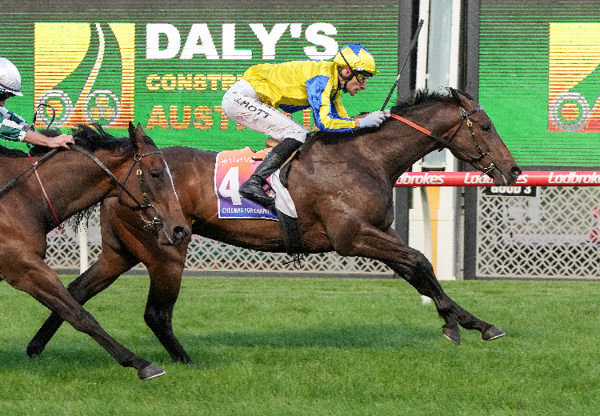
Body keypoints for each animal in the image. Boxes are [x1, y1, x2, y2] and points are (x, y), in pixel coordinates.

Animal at [0, 122, 189, 378]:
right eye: (155, 173)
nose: (180, 229)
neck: (22, 195)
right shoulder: (23, 266)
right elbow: (80, 315)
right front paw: (142, 364)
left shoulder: (24, 265)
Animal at [27, 88, 520, 364]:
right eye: (485, 125)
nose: (513, 171)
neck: (364, 157)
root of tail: (119, 175)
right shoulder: (353, 238)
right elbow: (420, 261)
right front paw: (459, 324)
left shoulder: (377, 235)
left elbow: (419, 270)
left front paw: (469, 322)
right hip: (165, 247)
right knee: (154, 312)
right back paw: (181, 361)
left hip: (121, 250)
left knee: (75, 292)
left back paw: (36, 348)